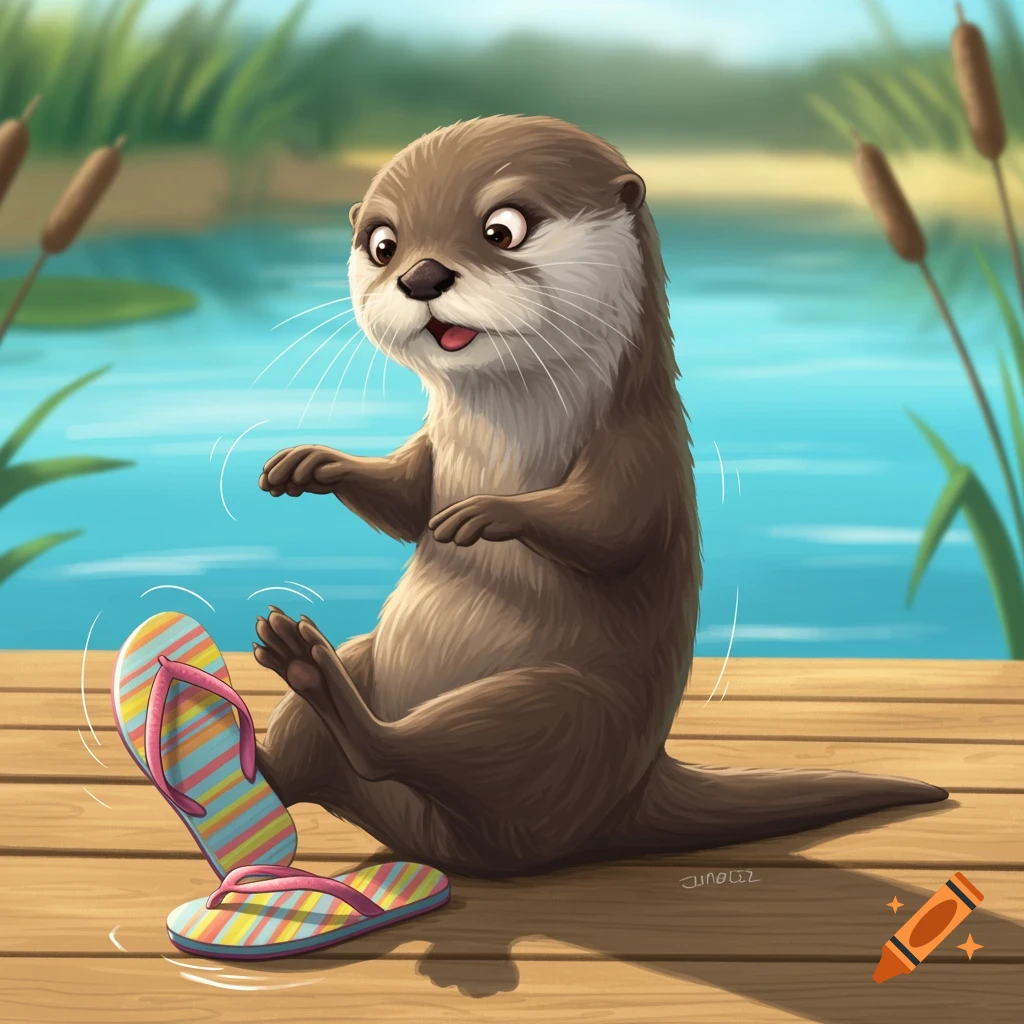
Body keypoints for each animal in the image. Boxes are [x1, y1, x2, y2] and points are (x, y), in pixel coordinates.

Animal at [251, 114, 946, 878]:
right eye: (383, 244)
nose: (422, 275)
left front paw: (491, 512)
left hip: (555, 716)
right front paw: (313, 463)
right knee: (305, 764)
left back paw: (312, 672)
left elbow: (614, 529)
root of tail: (628, 796)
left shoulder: (641, 449)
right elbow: (406, 501)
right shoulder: (434, 450)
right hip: (385, 662)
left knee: (416, 750)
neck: (502, 438)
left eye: (503, 229)